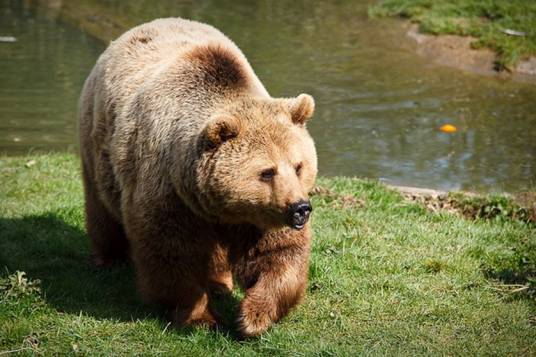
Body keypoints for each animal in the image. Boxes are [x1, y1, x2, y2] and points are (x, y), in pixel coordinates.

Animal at [77, 17, 316, 336]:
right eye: (267, 172)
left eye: (298, 166)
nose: (301, 208)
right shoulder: (167, 190)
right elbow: (171, 253)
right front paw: (202, 317)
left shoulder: (258, 216)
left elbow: (276, 253)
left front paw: (252, 316)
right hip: (97, 143)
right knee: (101, 205)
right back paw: (110, 258)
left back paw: (219, 282)